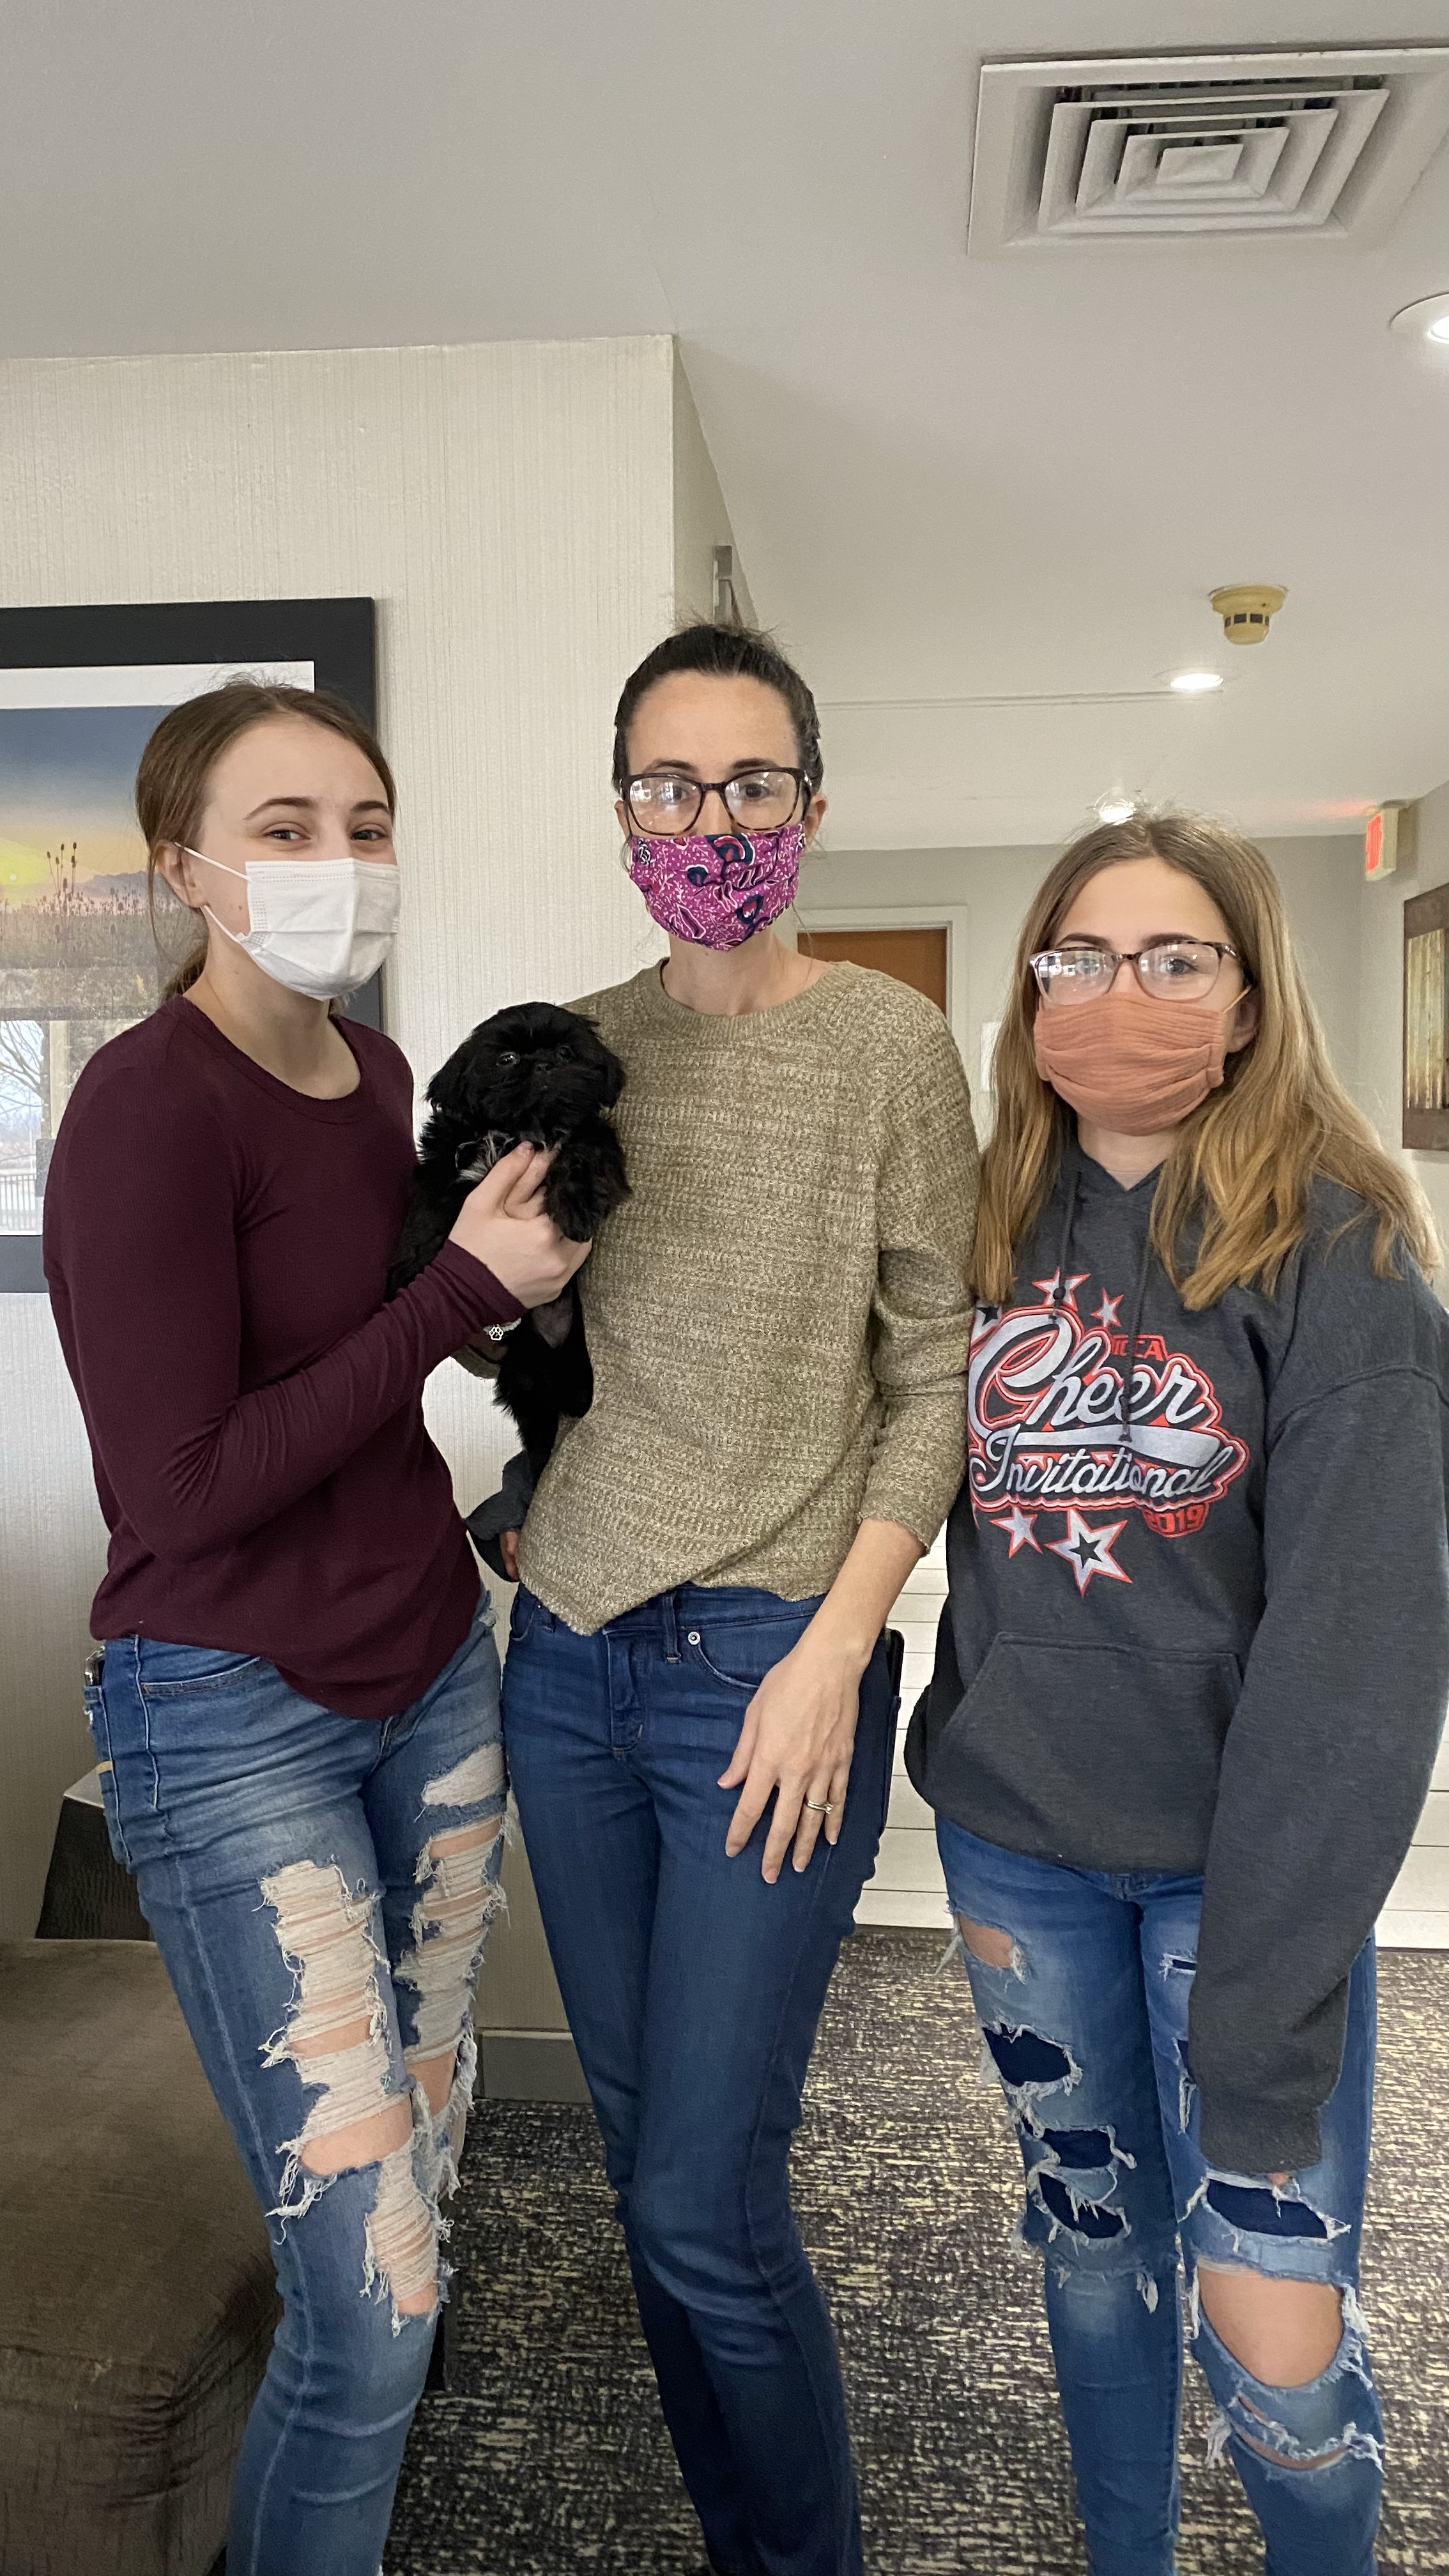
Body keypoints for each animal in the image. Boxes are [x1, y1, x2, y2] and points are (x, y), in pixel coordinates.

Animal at [387, 1002, 628, 1481]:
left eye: (567, 1052)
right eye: (507, 1059)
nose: (544, 1064)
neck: (523, 1130)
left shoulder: (590, 1134)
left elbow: (585, 1151)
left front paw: (576, 1208)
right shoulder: (444, 1158)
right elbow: (428, 1205)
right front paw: (411, 1264)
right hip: (526, 1386)